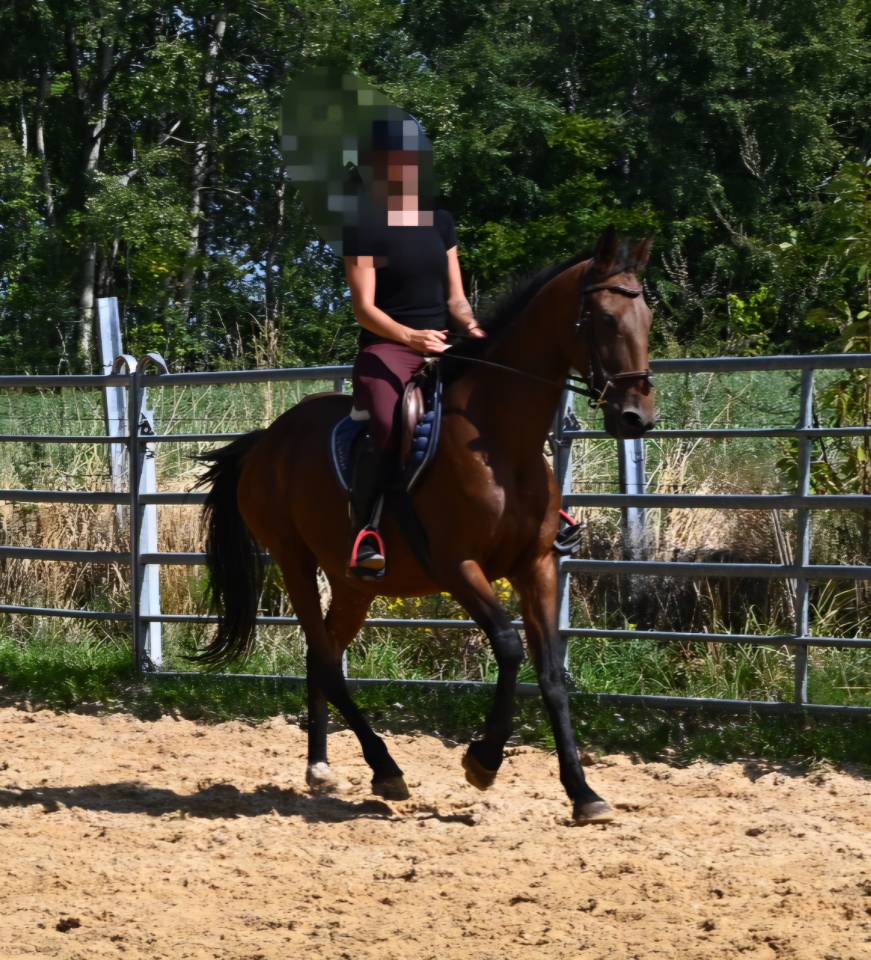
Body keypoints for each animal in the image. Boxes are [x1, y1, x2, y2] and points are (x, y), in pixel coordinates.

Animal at [193, 225, 655, 824]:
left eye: (647, 317)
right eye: (602, 318)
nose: (637, 418)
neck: (499, 443)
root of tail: (264, 440)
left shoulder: (537, 565)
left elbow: (552, 674)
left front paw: (583, 793)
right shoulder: (458, 566)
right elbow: (508, 646)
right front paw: (482, 761)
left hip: (352, 583)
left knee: (323, 656)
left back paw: (321, 767)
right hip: (293, 560)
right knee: (327, 660)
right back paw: (385, 769)